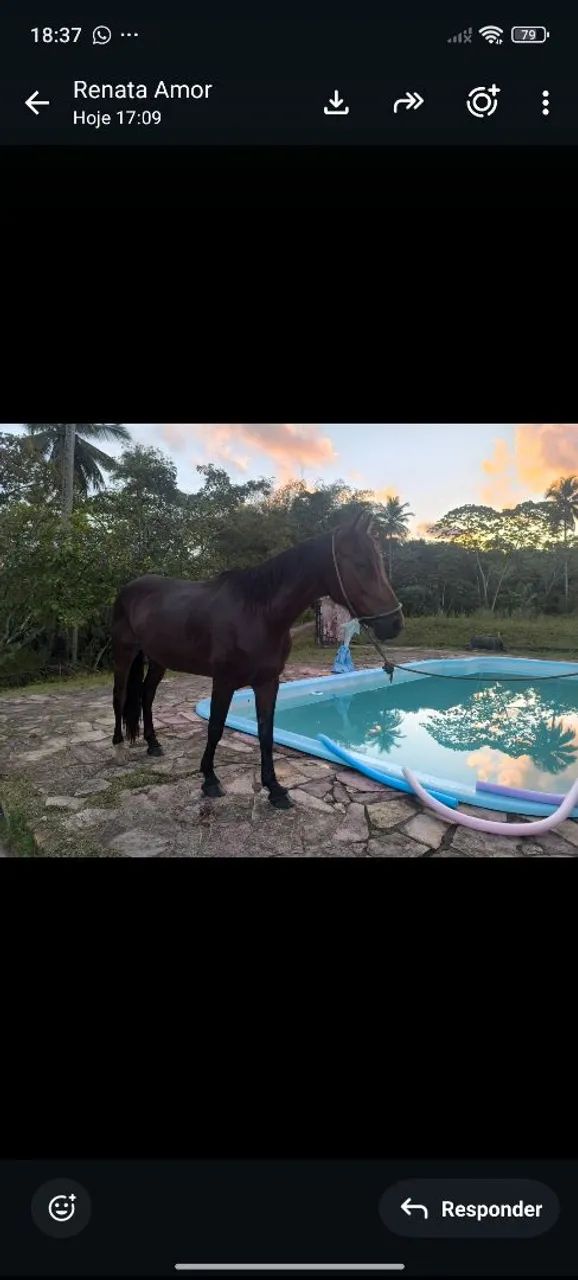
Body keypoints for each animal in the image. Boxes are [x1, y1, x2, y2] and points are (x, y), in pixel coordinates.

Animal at [110, 512, 404, 809]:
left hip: (159, 660)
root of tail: (129, 589)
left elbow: (266, 732)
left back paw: (153, 744)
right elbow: (215, 727)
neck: (258, 613)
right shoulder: (223, 681)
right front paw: (210, 779)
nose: (394, 623)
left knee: (146, 695)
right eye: (361, 564)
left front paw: (274, 788)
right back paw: (119, 747)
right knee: (120, 696)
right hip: (123, 653)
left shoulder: (267, 682)